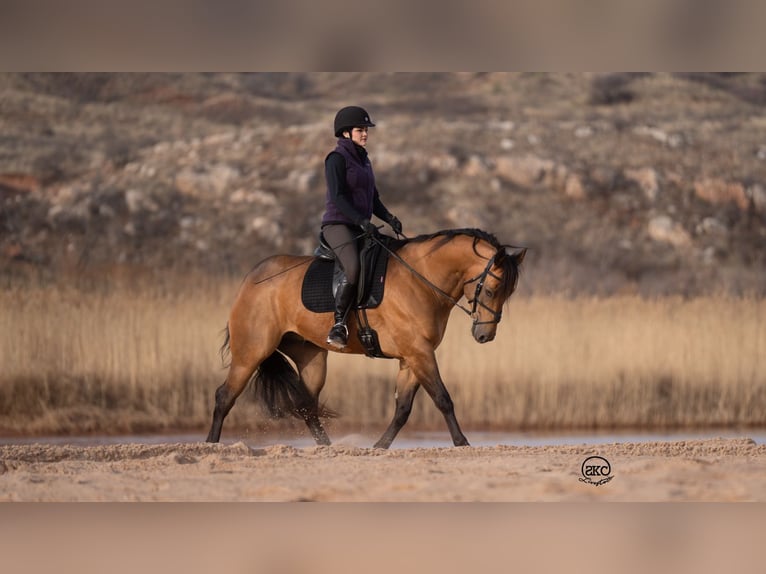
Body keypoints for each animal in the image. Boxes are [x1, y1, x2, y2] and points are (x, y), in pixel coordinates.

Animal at [207, 228, 524, 450]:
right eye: (491, 289)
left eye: (507, 292)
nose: (484, 335)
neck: (421, 280)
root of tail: (250, 281)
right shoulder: (420, 353)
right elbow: (443, 398)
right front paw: (462, 442)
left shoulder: (412, 357)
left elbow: (403, 409)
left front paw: (380, 446)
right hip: (251, 352)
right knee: (225, 395)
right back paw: (211, 443)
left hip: (311, 357)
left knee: (307, 406)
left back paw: (328, 448)